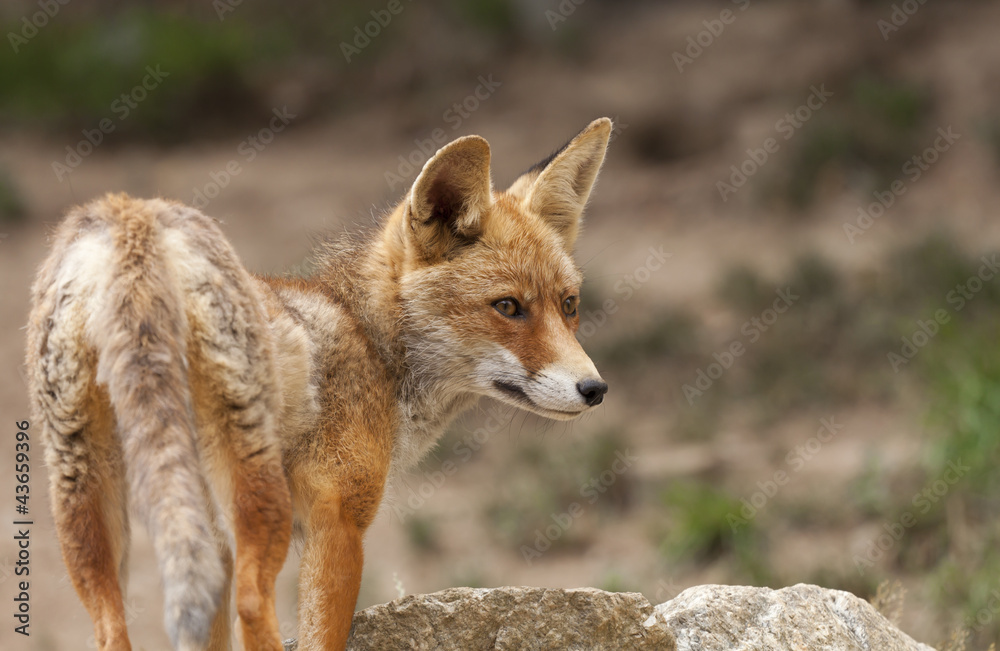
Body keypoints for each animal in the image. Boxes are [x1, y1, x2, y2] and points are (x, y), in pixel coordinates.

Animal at [26, 117, 612, 650]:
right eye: (508, 307)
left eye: (569, 306)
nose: (595, 389)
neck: (371, 344)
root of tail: (133, 219)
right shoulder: (338, 521)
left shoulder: (213, 536)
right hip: (259, 502)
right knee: (253, 606)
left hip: (86, 498)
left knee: (110, 629)